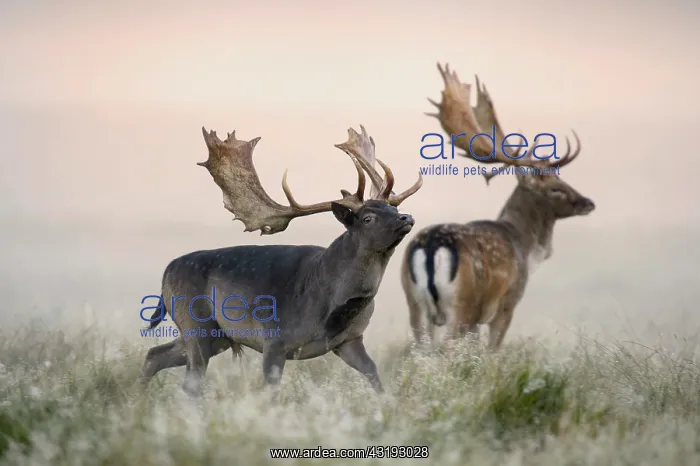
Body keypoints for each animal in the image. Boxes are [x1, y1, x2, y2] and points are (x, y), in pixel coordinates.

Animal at [139, 125, 423, 397]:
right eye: (367, 218)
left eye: (393, 208)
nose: (407, 217)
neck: (329, 307)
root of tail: (166, 273)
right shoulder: (274, 339)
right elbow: (272, 391)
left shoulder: (350, 340)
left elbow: (374, 374)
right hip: (196, 324)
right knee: (190, 382)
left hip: (215, 335)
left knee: (155, 355)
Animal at [400, 63, 595, 350]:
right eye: (555, 188)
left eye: (562, 179)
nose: (588, 203)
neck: (527, 250)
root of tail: (432, 245)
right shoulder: (507, 303)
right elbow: (493, 350)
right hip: (462, 304)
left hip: (414, 303)